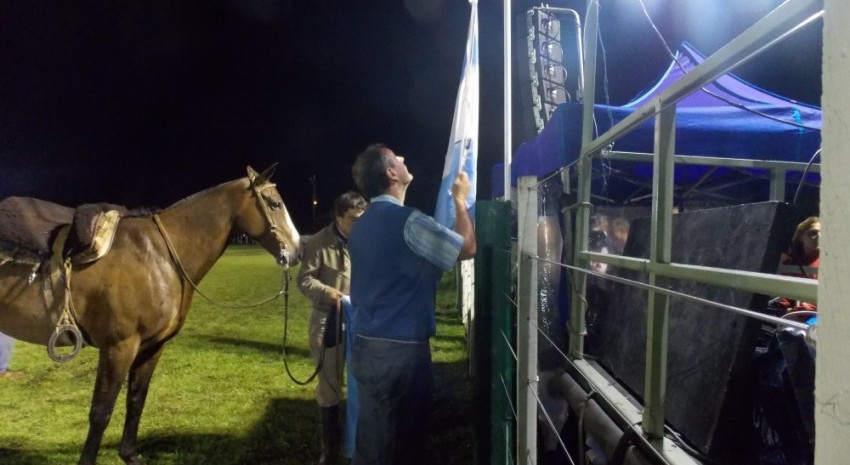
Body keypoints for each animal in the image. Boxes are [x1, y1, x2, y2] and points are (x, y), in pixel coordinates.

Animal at [0, 165, 302, 462]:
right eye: (275, 203)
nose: (297, 253)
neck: (157, 257)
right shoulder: (118, 347)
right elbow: (101, 412)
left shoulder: (152, 346)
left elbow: (136, 400)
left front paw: (129, 453)